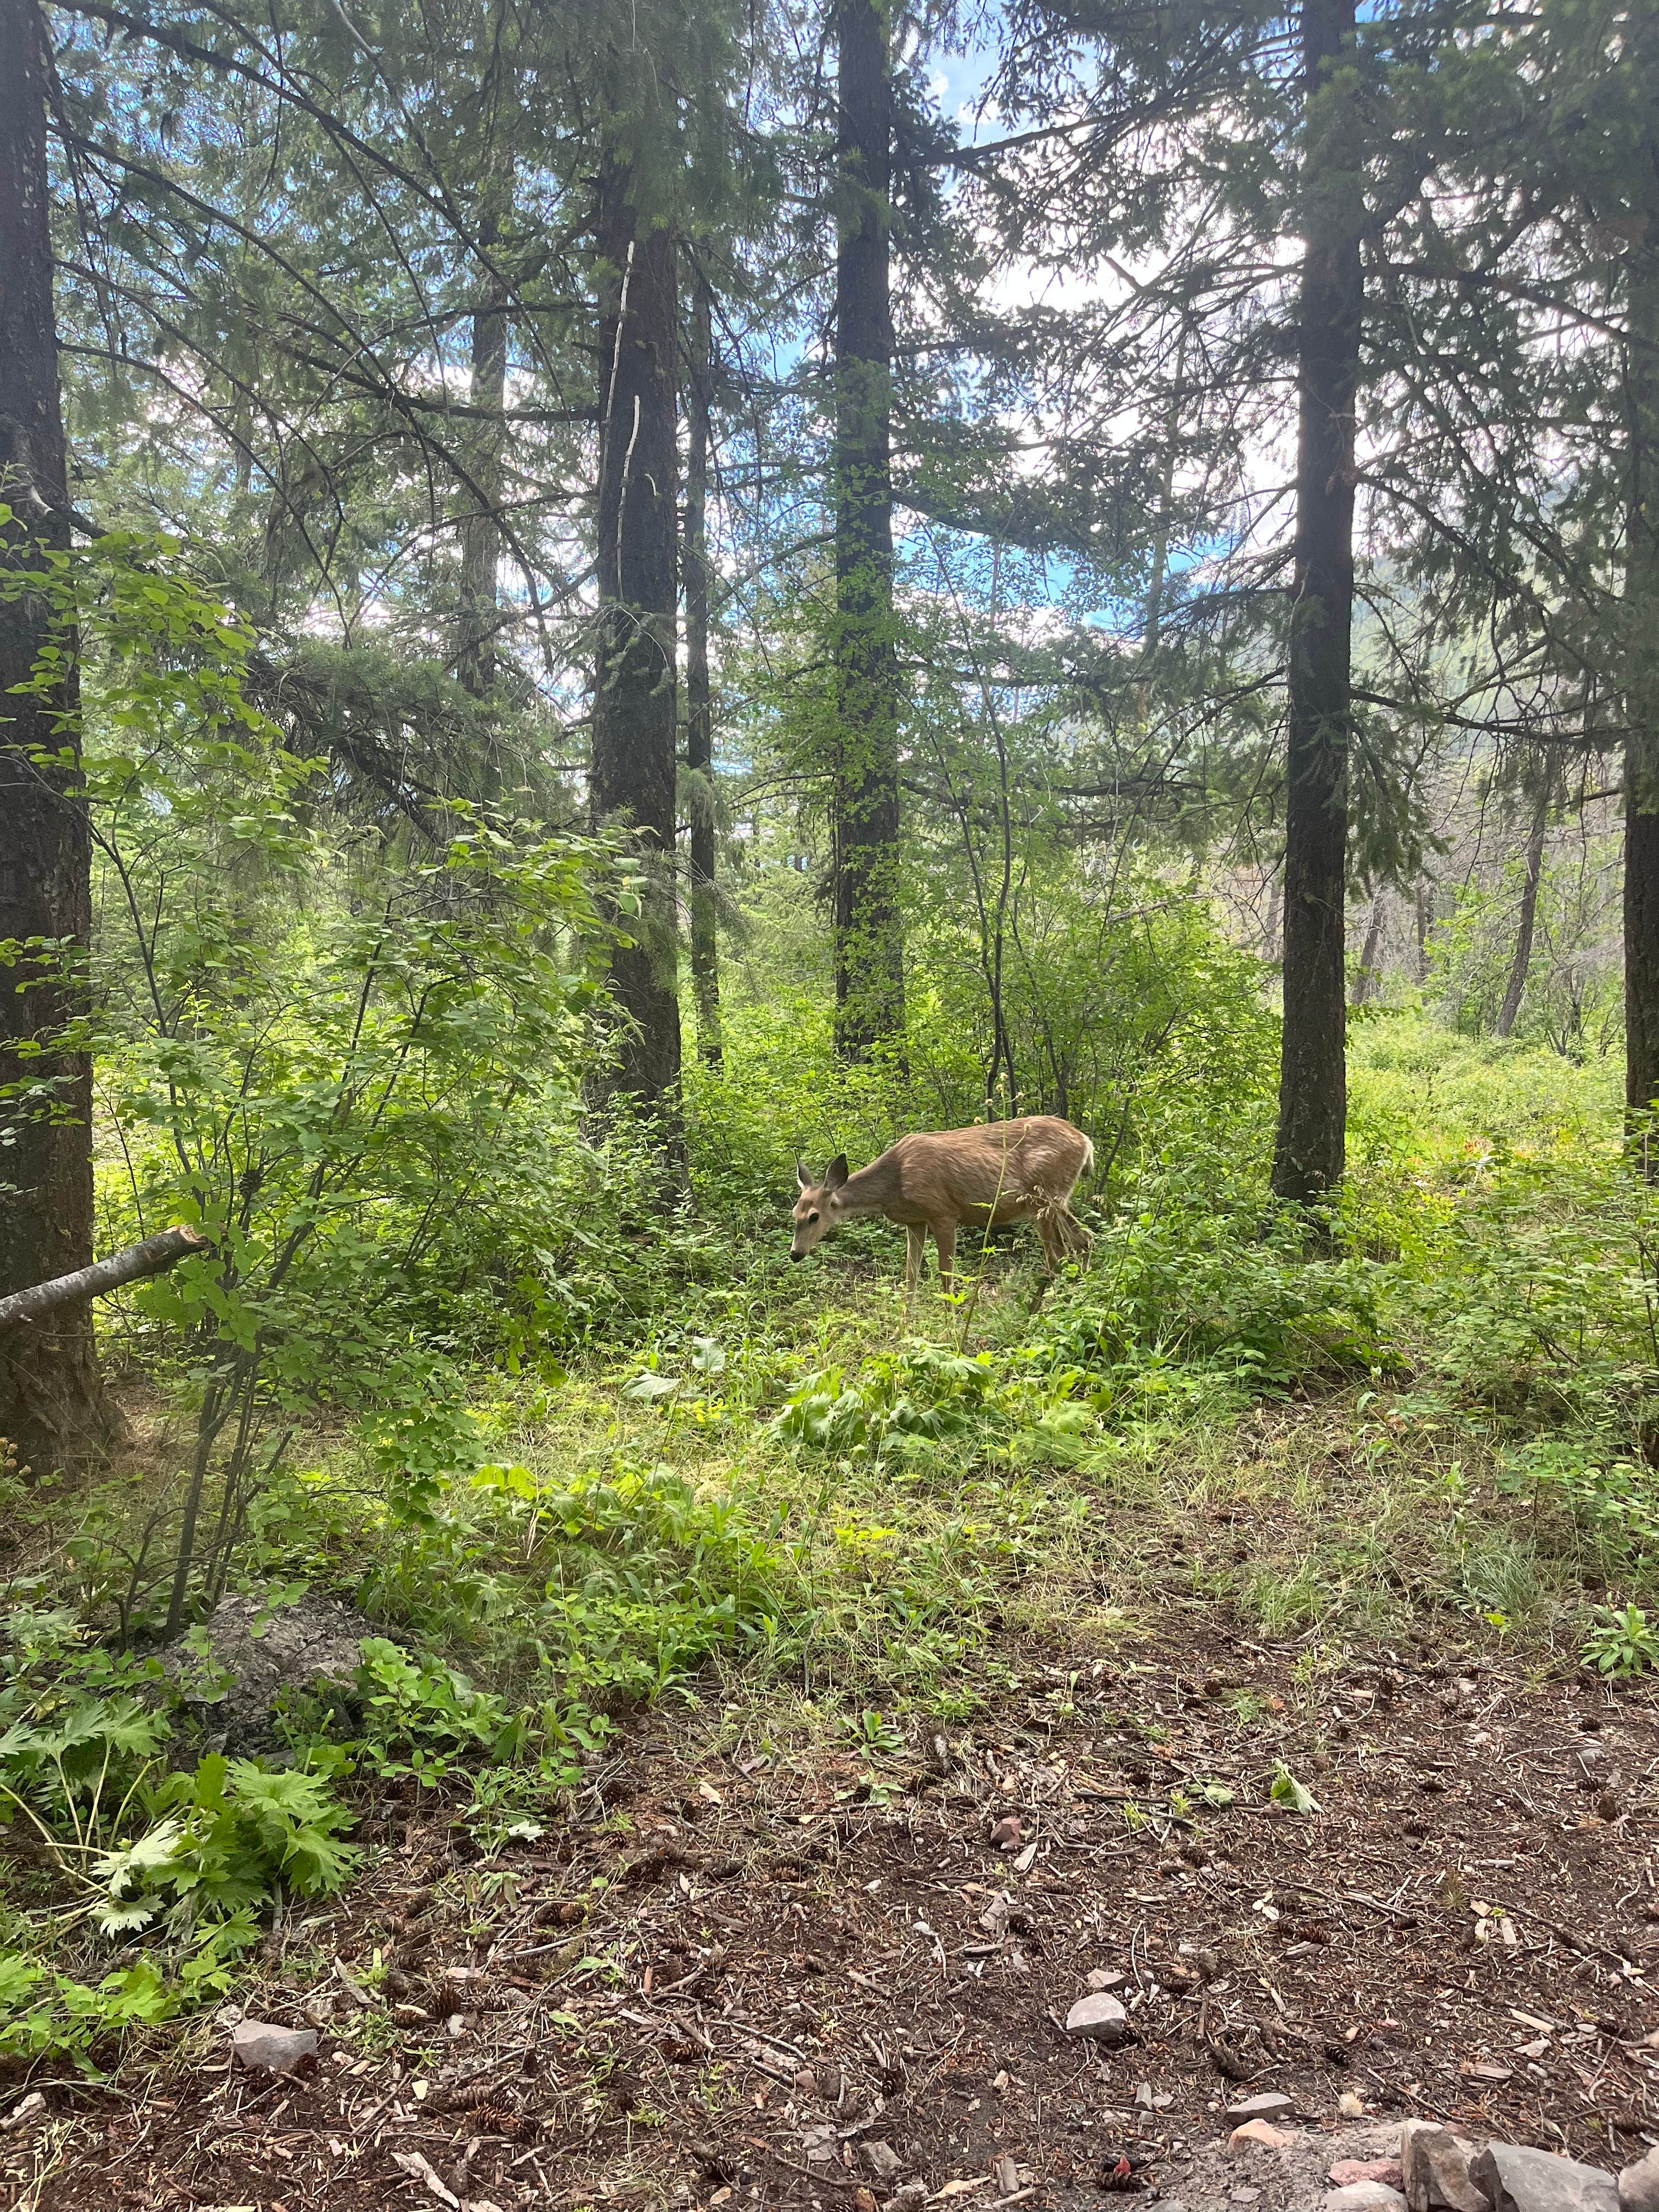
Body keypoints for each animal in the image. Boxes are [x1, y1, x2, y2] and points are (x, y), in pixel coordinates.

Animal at [787, 1115, 1097, 1291]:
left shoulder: (945, 1214)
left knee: (1058, 1253)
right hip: (1051, 1202)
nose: (795, 1254)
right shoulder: (915, 1222)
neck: (895, 1184)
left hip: (1044, 1199)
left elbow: (945, 1274)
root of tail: (1086, 1142)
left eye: (814, 1216)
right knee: (1082, 1241)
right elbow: (911, 1277)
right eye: (794, 1213)